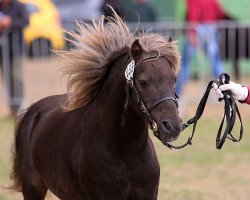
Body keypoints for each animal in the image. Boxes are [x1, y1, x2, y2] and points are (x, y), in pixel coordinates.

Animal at [10, 9, 182, 200]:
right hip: (32, 190)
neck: (125, 151)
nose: (172, 127)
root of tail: (31, 112)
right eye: (143, 82)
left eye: (174, 79)